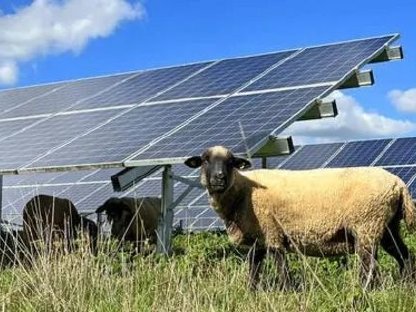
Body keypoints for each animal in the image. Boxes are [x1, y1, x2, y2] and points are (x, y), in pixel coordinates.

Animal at [185, 146, 416, 290]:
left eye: (231, 162)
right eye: (205, 160)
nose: (219, 178)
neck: (243, 192)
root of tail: (399, 183)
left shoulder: (272, 232)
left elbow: (281, 267)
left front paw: (287, 291)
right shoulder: (257, 241)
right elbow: (253, 270)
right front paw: (251, 292)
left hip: (367, 224)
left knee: (369, 266)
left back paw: (363, 291)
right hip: (387, 226)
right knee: (404, 254)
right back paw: (407, 283)